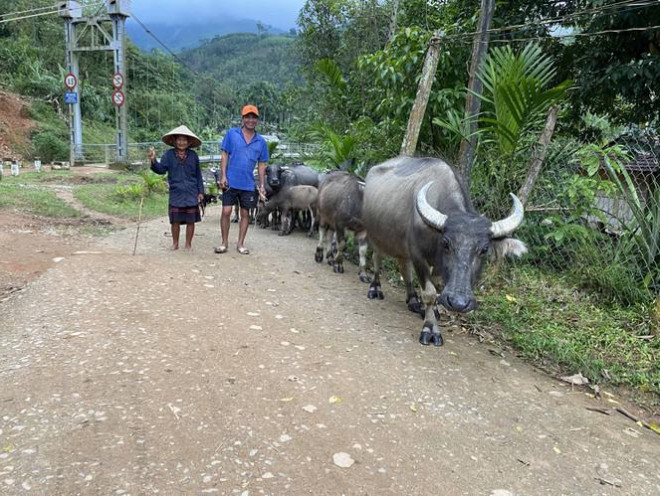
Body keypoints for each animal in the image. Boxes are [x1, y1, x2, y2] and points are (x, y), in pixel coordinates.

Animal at [360, 157, 524, 346]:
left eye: (484, 249)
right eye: (446, 243)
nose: (459, 303)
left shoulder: (436, 265)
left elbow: (437, 289)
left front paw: (433, 311)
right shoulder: (418, 256)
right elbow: (430, 293)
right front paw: (431, 328)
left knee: (404, 267)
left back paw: (413, 301)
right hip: (376, 236)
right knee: (377, 259)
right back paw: (375, 289)